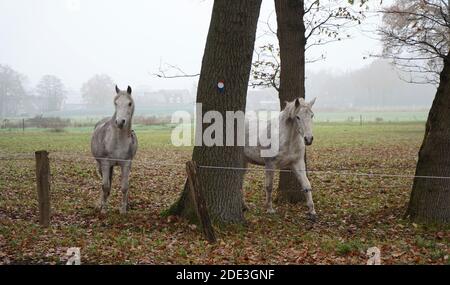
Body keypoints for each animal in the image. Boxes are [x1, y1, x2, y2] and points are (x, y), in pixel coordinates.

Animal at [91, 84, 137, 213]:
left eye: (129, 103)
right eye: (116, 103)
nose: (120, 122)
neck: (117, 141)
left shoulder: (126, 163)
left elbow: (125, 186)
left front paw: (123, 209)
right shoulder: (106, 163)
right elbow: (105, 186)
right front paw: (103, 209)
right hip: (101, 165)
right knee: (105, 183)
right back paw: (100, 203)